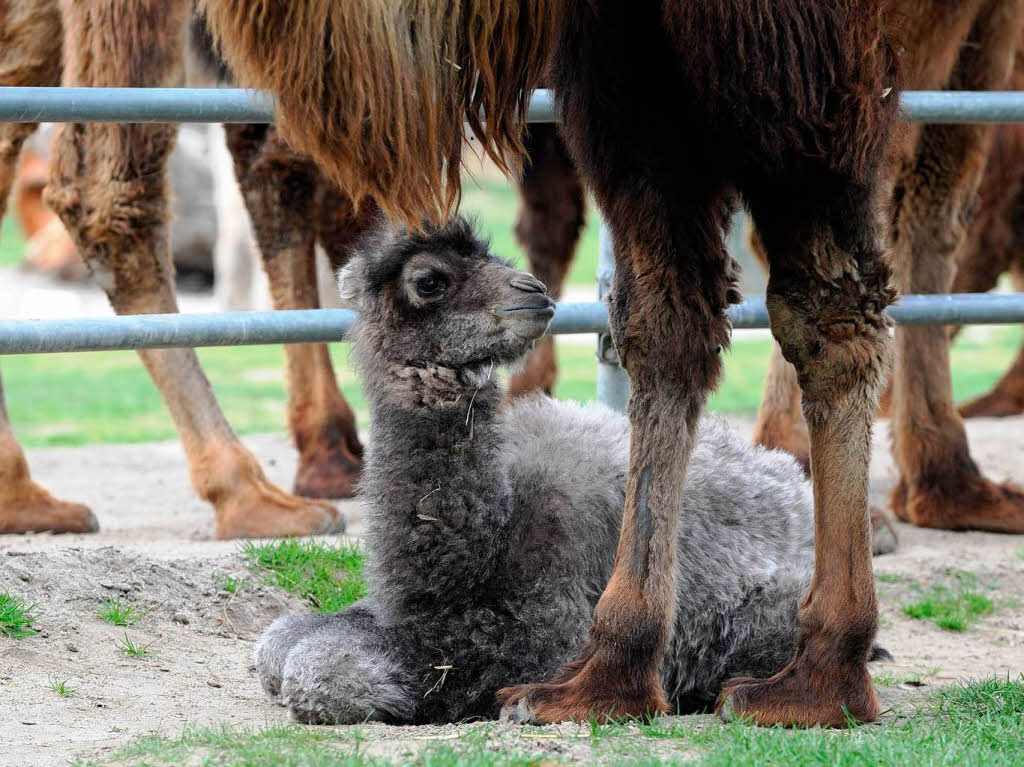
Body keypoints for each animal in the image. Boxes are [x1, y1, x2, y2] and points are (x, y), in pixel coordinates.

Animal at [251, 217, 892, 725]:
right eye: (430, 280)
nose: (533, 291)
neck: (480, 548)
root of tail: (792, 484)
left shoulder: (540, 634)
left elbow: (324, 667)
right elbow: (279, 641)